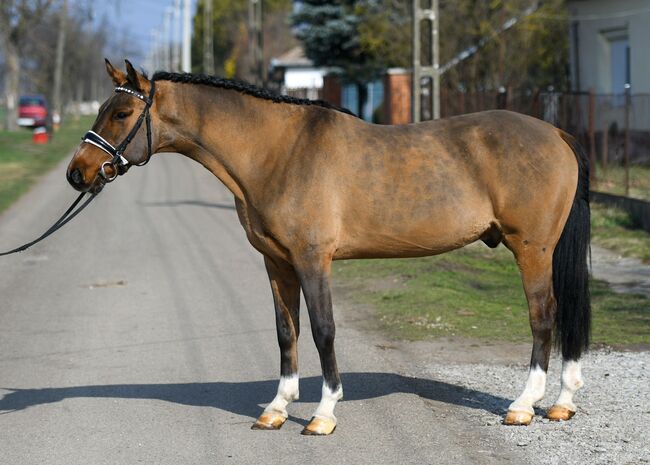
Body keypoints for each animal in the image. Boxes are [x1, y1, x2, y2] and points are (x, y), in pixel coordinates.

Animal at [64, 60, 588, 436]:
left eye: (122, 113)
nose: (77, 172)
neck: (278, 152)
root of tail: (556, 133)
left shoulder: (313, 260)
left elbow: (323, 331)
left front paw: (323, 412)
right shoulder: (276, 263)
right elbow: (287, 332)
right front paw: (277, 409)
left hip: (532, 249)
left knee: (543, 315)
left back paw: (524, 405)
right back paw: (562, 404)